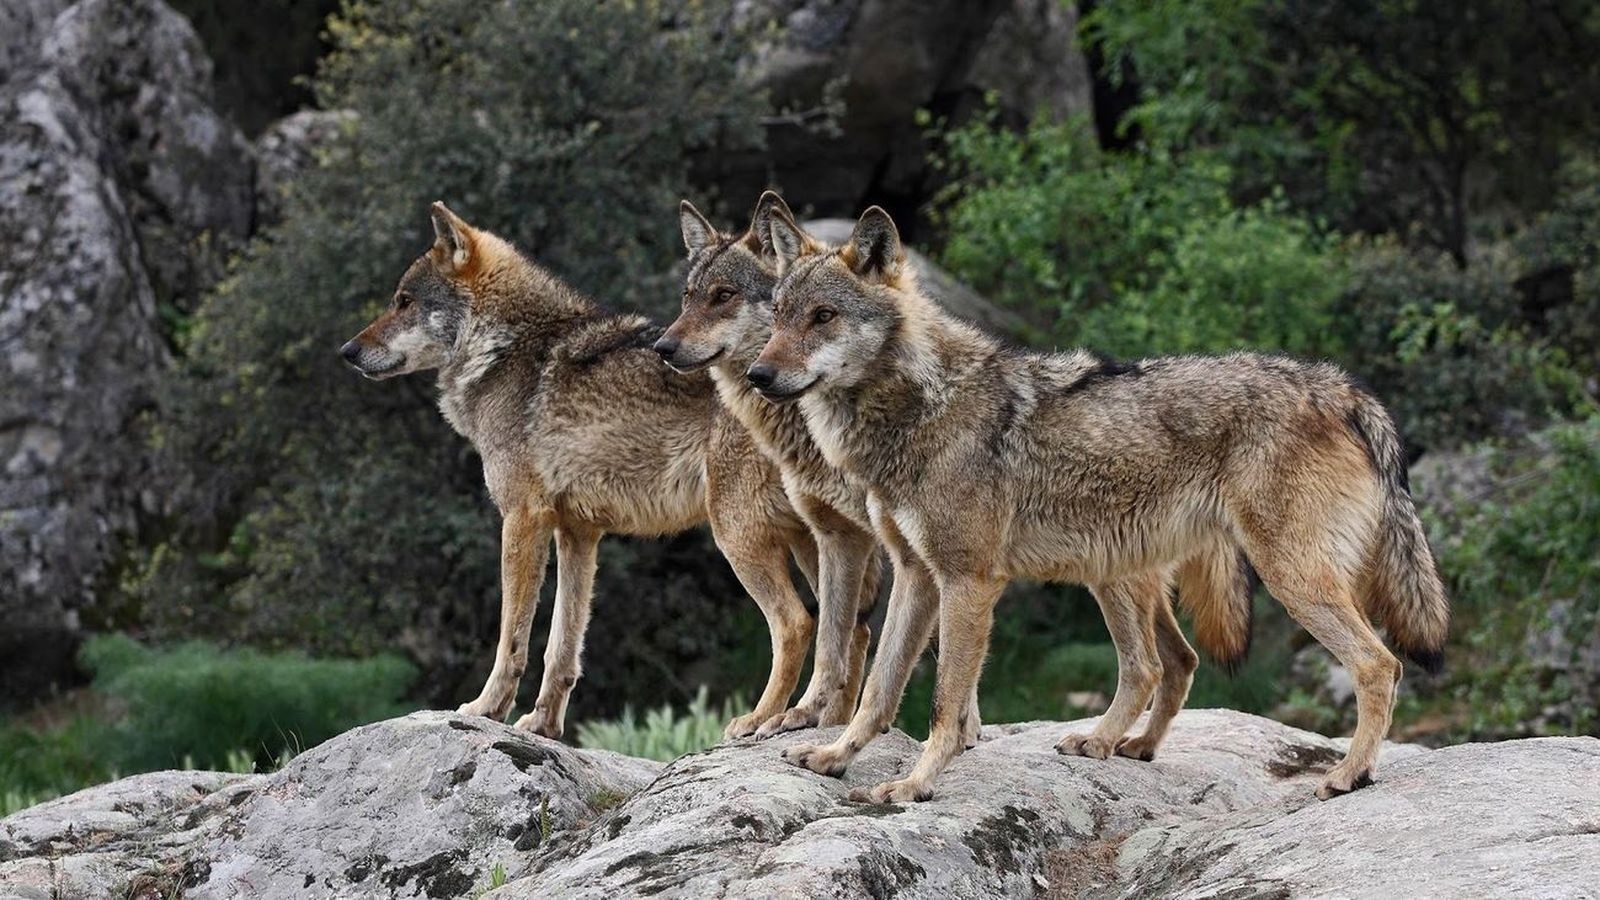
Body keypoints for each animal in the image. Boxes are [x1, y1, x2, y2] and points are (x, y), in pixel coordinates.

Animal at [340, 202, 825, 740]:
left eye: (404, 302)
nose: (347, 351)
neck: (507, 349)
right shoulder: (578, 533)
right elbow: (562, 646)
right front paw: (543, 724)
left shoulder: (522, 519)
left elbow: (512, 637)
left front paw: (485, 709)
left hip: (737, 535)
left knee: (796, 623)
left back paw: (762, 720)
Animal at [752, 205, 1449, 803]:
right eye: (779, 316)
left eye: (823, 317)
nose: (759, 375)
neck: (922, 407)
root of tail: (1344, 388)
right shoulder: (916, 574)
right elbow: (879, 688)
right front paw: (834, 756)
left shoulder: (968, 581)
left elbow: (945, 703)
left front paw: (916, 783)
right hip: (1115, 569)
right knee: (1157, 667)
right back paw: (1117, 744)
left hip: (1284, 578)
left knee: (1378, 665)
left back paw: (1349, 775)